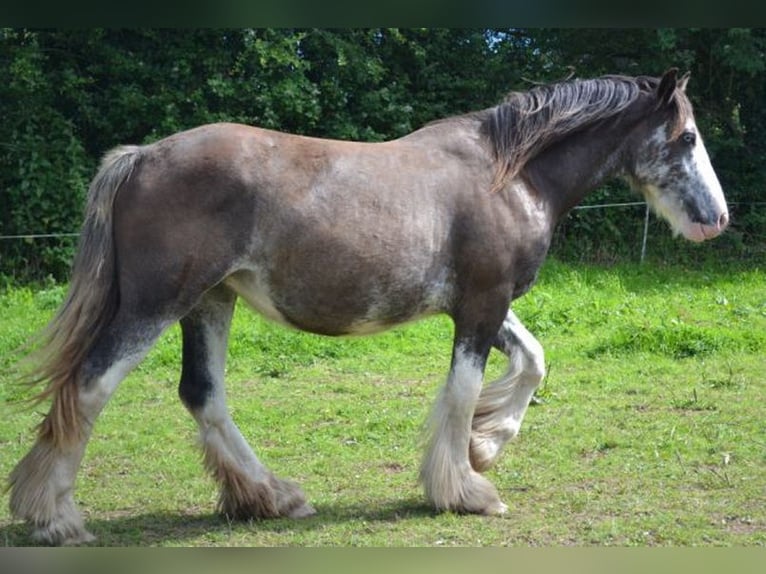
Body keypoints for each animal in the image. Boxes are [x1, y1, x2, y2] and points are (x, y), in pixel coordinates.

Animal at [10, 70, 732, 548]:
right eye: (688, 136)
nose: (717, 220)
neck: (510, 175)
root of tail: (139, 158)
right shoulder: (480, 305)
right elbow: (464, 390)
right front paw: (466, 489)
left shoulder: (484, 303)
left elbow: (533, 361)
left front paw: (486, 445)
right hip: (157, 303)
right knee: (91, 385)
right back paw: (54, 516)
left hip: (211, 301)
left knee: (203, 394)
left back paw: (273, 497)